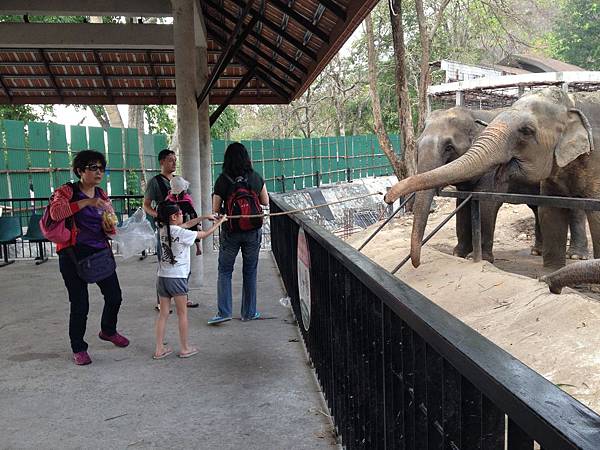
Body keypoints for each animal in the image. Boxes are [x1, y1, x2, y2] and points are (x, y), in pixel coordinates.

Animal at [386, 86, 596, 268]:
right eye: (417, 145)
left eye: (449, 147)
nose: (387, 198)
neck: (473, 114)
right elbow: (463, 203)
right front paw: (459, 254)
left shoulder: (491, 170)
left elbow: (487, 202)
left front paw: (479, 258)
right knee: (537, 206)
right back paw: (537, 251)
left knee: (574, 205)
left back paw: (576, 256)